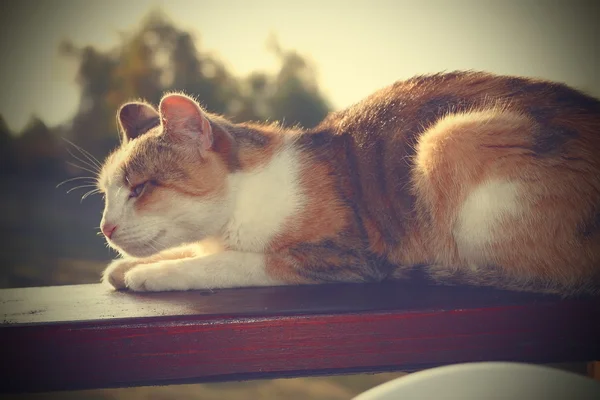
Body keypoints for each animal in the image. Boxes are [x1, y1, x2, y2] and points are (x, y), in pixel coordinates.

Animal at [97, 70, 600, 296]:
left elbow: (229, 263)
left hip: (449, 136)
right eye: (107, 194)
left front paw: (148, 273)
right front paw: (124, 267)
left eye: (140, 188)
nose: (105, 227)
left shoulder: (338, 256)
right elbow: (189, 252)